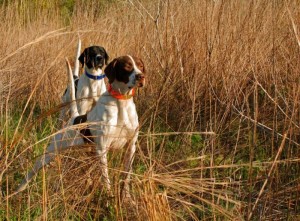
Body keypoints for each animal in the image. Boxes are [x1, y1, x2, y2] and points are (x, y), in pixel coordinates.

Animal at [17, 54, 146, 197]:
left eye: (140, 65)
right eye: (127, 66)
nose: (141, 76)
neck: (121, 102)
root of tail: (75, 117)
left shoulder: (131, 147)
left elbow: (126, 178)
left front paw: (127, 197)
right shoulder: (102, 149)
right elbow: (106, 179)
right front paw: (109, 196)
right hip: (52, 151)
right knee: (34, 168)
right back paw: (19, 190)